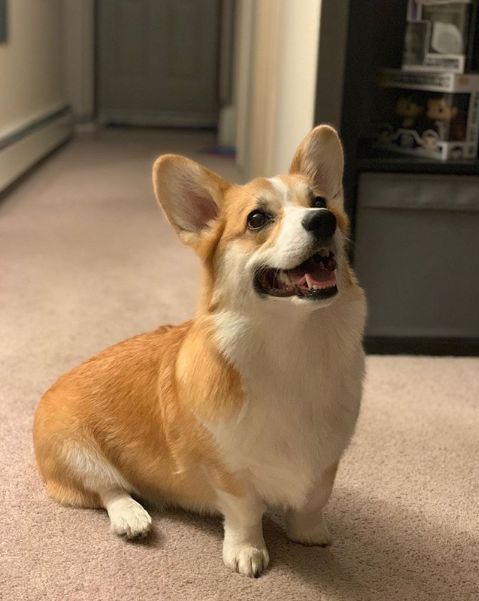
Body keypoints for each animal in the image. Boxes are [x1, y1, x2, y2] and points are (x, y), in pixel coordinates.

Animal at [33, 125, 368, 576]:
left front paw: (309, 534)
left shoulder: (326, 460)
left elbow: (311, 502)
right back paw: (131, 517)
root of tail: (52, 388)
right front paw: (248, 552)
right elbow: (246, 513)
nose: (324, 220)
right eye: (257, 219)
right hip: (76, 454)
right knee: (109, 489)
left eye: (319, 201)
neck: (292, 343)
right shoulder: (227, 469)